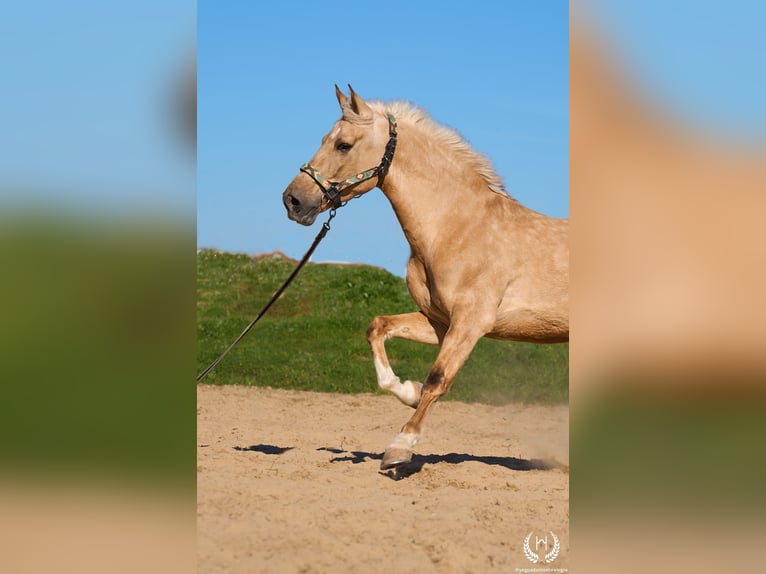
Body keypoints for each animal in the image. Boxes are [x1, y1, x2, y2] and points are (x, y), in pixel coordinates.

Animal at [282, 85, 568, 470]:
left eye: (343, 144)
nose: (293, 201)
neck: (457, 228)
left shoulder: (470, 324)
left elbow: (438, 379)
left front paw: (400, 448)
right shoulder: (440, 323)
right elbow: (379, 327)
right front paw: (408, 391)